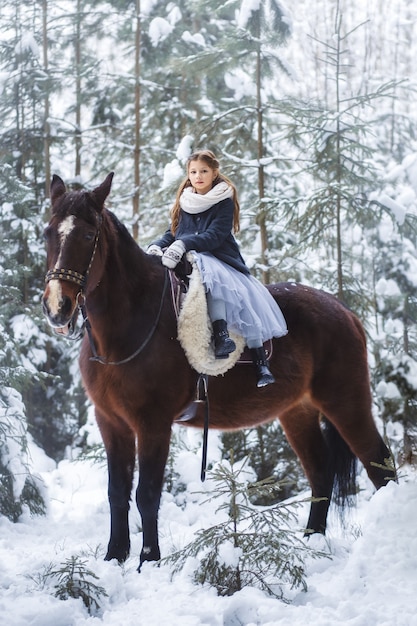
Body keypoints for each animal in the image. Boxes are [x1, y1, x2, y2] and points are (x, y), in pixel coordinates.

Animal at [43, 173, 396, 568]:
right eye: (48, 233)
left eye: (88, 235)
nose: (57, 306)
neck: (131, 325)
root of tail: (344, 311)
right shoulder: (111, 422)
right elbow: (116, 492)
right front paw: (114, 557)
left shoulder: (153, 423)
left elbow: (147, 494)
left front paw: (149, 561)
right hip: (297, 411)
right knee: (321, 472)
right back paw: (311, 544)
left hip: (346, 403)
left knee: (380, 465)